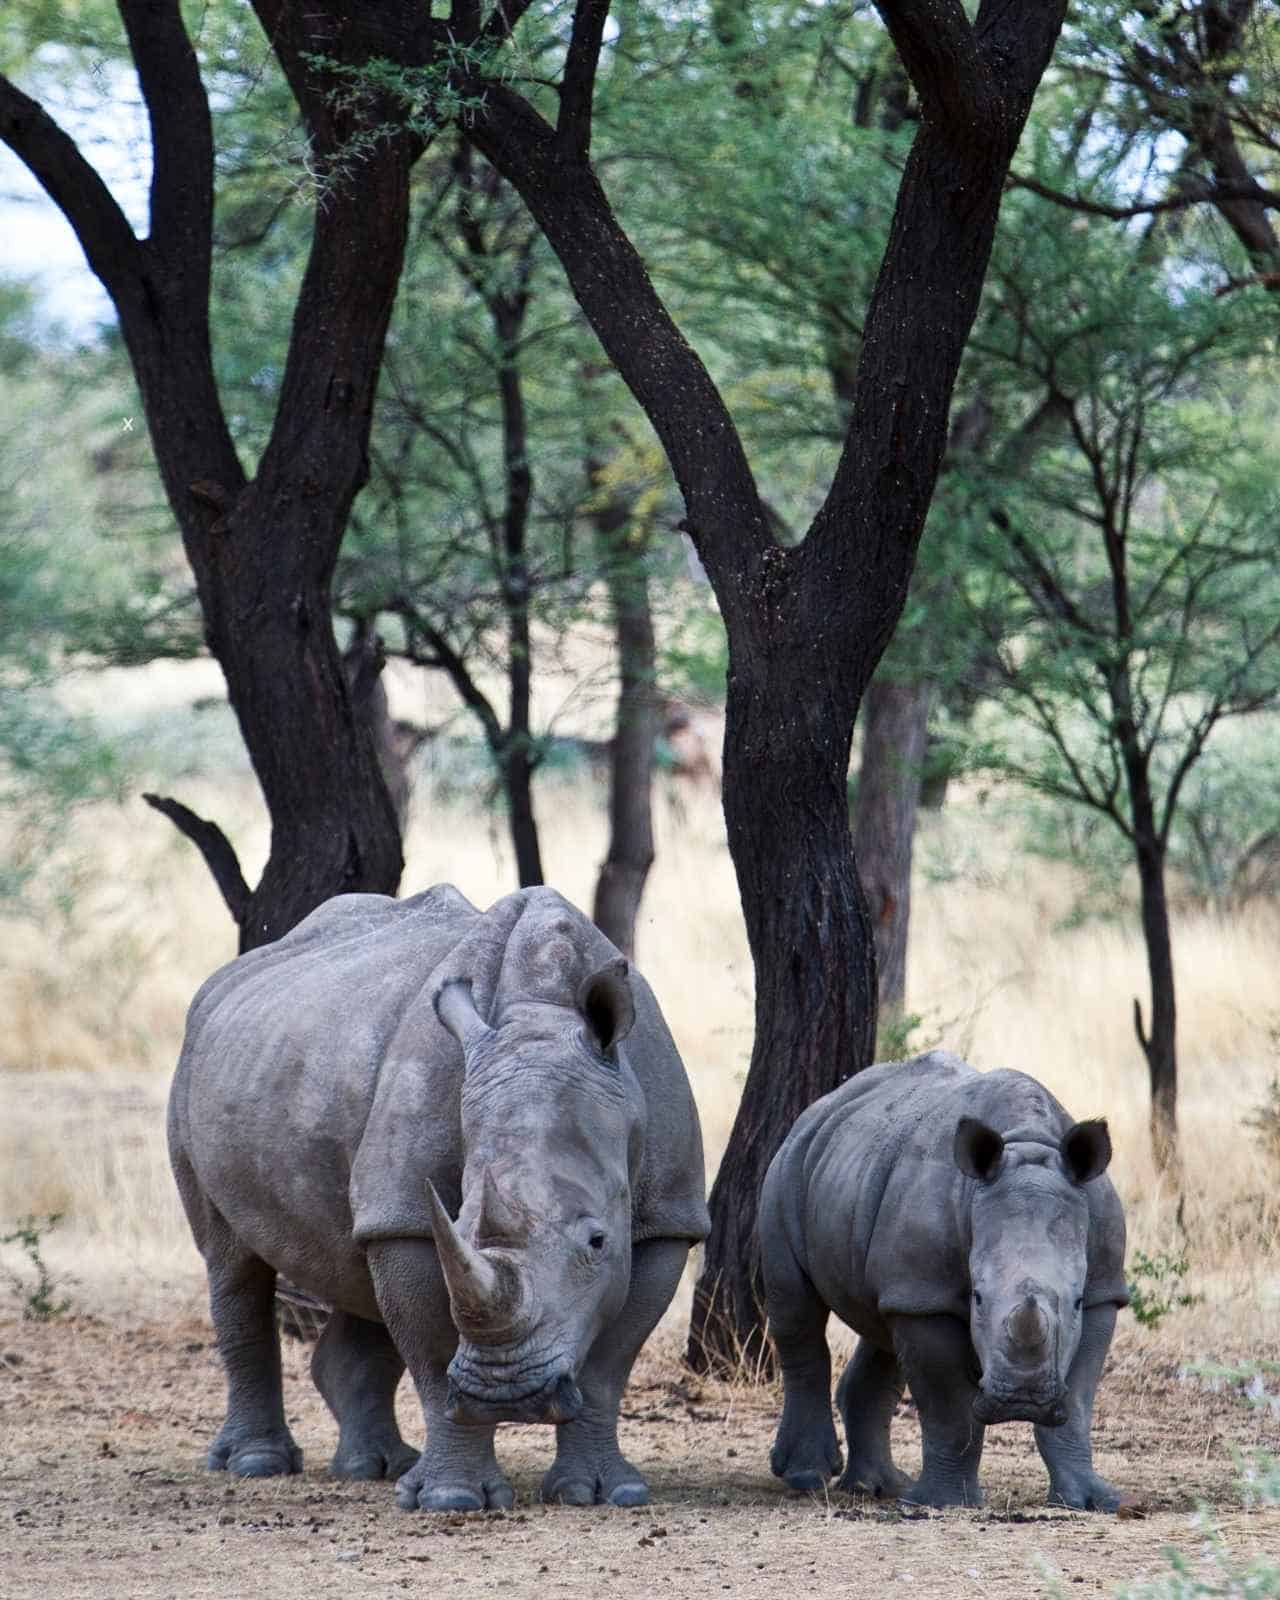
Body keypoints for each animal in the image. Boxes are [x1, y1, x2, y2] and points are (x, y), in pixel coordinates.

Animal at [168, 884, 709, 1511]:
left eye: (599, 1241)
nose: (509, 1396)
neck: (542, 1017)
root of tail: (222, 982)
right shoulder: (407, 1215)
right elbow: (430, 1349)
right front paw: (451, 1498)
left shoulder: (667, 1216)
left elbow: (608, 1365)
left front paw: (602, 1493)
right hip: (193, 1067)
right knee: (232, 1261)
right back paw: (258, 1464)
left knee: (353, 1266)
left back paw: (373, 1468)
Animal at [760, 1051, 1127, 1511]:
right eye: (978, 1298)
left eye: (1075, 1300)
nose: (1022, 1400)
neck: (1027, 1143)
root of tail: (821, 1107)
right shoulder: (927, 1297)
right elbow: (948, 1406)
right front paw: (942, 1503)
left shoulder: (1103, 1289)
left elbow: (1076, 1404)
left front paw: (1093, 1501)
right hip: (789, 1167)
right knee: (798, 1312)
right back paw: (807, 1477)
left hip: (867, 1199)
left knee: (881, 1324)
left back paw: (879, 1487)